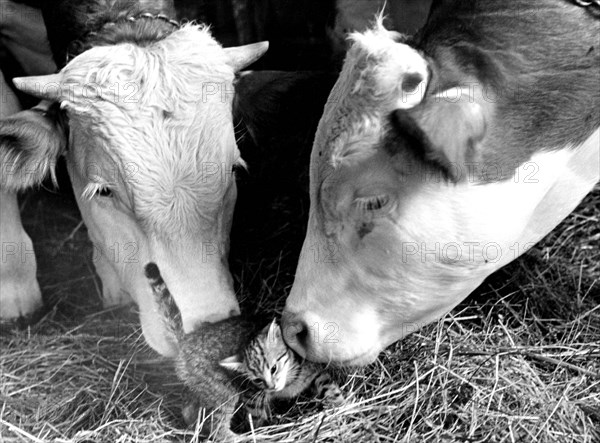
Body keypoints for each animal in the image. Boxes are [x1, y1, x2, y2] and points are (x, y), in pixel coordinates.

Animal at [144, 264, 342, 440]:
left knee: (189, 410)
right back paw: (241, 438)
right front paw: (262, 430)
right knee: (216, 428)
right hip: (223, 392)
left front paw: (338, 402)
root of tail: (186, 339)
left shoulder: (315, 369)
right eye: (258, 380)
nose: (271, 386)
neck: (288, 384)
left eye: (273, 369)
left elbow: (326, 383)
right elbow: (257, 418)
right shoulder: (252, 395)